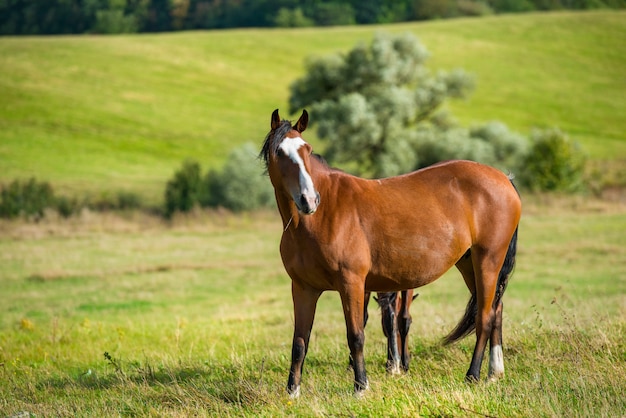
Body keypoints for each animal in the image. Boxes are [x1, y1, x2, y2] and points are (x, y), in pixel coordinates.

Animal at [260, 109, 520, 396]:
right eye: (280, 152)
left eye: (307, 149)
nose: (309, 200)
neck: (319, 217)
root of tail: (503, 179)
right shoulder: (303, 288)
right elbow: (299, 341)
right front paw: (292, 392)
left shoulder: (351, 283)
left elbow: (356, 335)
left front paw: (361, 387)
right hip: (468, 264)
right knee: (496, 308)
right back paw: (494, 373)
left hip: (488, 260)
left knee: (484, 316)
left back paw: (473, 376)